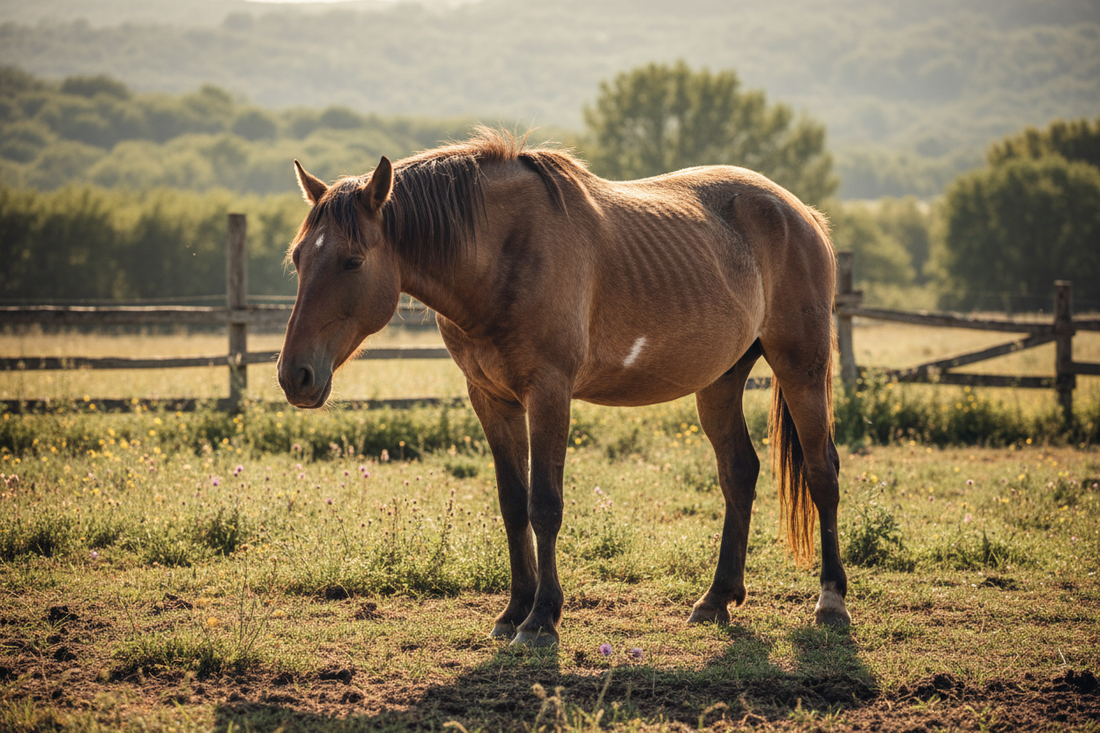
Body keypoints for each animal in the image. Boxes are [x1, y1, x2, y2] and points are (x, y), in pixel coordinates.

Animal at [277, 128, 850, 646]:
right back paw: (716, 599)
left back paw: (831, 602)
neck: (503, 253)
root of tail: (802, 214)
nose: (294, 375)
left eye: (352, 260)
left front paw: (541, 620)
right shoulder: (492, 400)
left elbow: (545, 506)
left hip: (801, 368)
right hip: (720, 381)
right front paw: (513, 611)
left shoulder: (548, 393)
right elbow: (513, 504)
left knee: (821, 472)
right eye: (298, 258)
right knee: (739, 473)